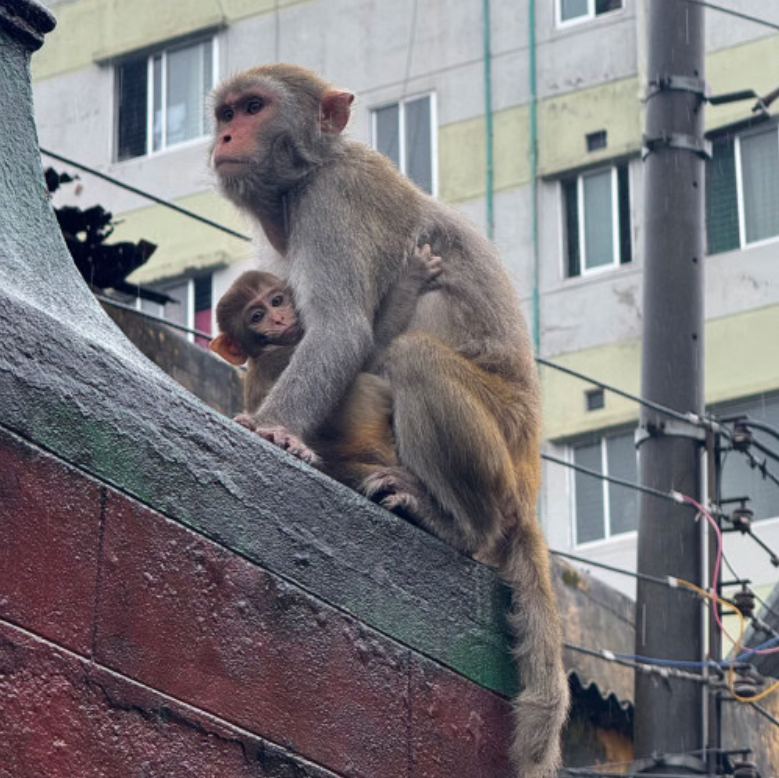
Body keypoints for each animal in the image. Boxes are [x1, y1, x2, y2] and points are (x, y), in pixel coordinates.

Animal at [209, 244, 443, 486]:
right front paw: (412, 276)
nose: (279, 319)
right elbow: (367, 351)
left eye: (276, 301)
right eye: (257, 316)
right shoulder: (283, 353)